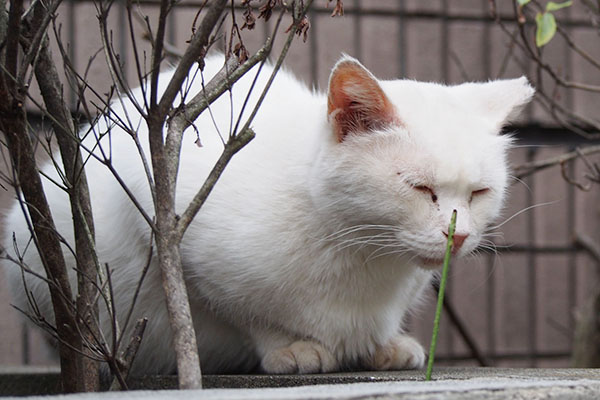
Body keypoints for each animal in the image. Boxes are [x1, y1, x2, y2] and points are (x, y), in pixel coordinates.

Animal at [1, 56, 536, 376]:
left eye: (480, 193)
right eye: (420, 188)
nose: (459, 237)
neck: (360, 254)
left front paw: (382, 344)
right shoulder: (166, 217)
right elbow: (247, 314)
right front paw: (293, 347)